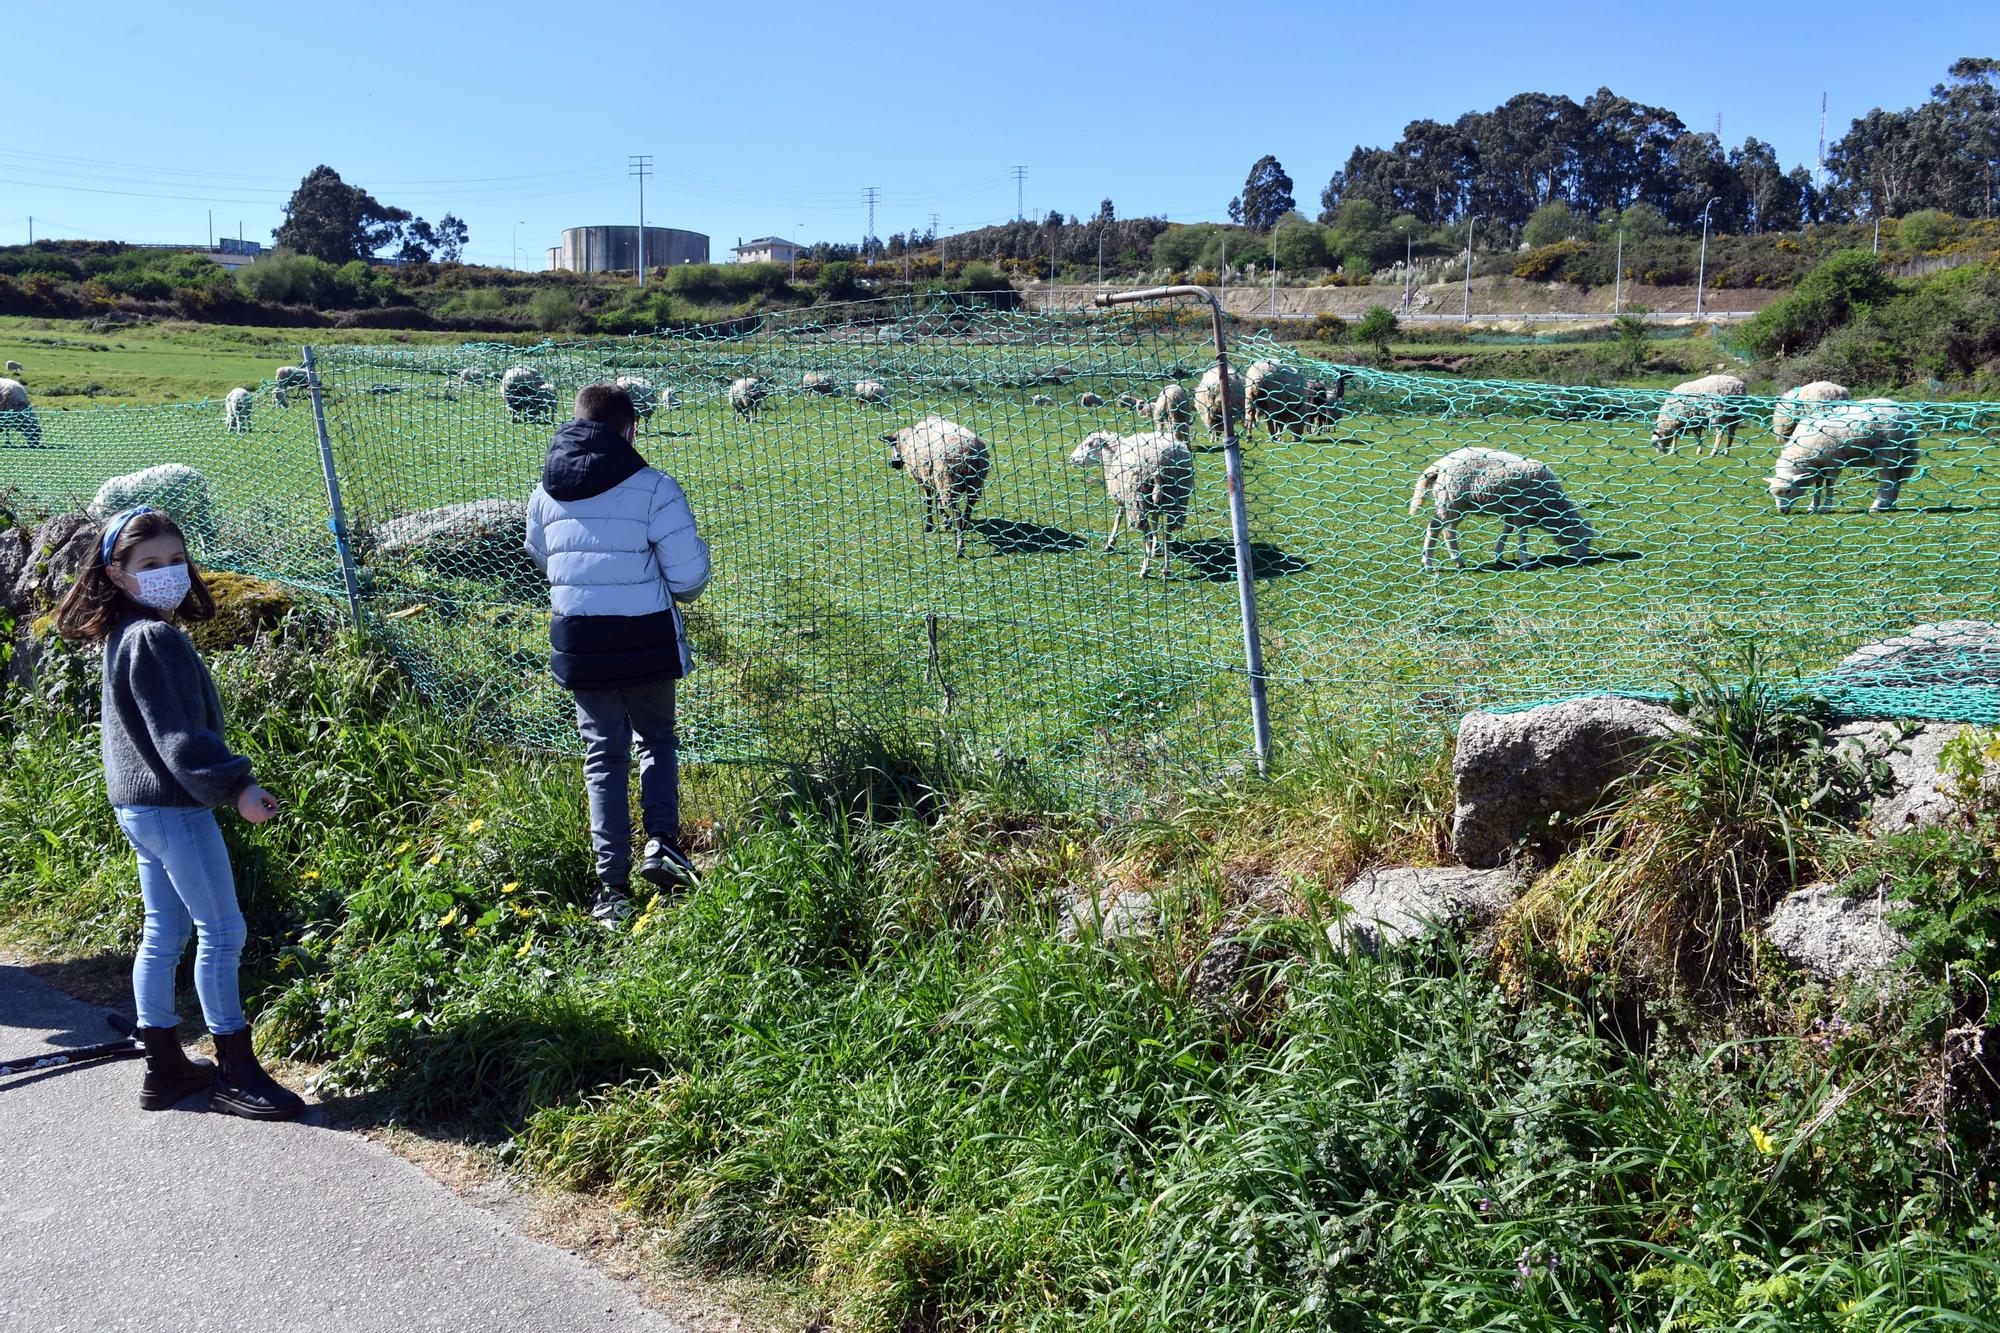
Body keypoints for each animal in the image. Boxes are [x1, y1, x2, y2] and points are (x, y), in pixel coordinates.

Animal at [884, 418, 992, 556]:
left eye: (892, 445)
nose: (892, 464)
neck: (906, 442)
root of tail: (968, 452)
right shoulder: (933, 478)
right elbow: (937, 500)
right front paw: (946, 520)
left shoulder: (925, 479)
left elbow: (929, 502)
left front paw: (929, 526)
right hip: (974, 483)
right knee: (968, 509)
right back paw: (962, 528)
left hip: (947, 480)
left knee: (957, 512)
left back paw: (960, 545)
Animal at [1072, 430, 1192, 576]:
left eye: (1088, 444)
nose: (1071, 459)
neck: (1112, 454)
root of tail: (1160, 464)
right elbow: (1155, 522)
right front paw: (1156, 549)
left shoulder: (1124, 496)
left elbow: (1118, 516)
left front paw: (1110, 543)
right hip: (1176, 501)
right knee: (1167, 535)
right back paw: (1166, 569)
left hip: (1137, 500)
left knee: (1148, 536)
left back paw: (1145, 569)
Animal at [1416, 446, 1600, 572]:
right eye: (1587, 539)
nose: (1584, 559)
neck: (1548, 506)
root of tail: (1440, 464)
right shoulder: (1523, 506)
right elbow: (1522, 534)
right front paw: (1525, 561)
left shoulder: (1511, 509)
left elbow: (1508, 530)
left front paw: (1498, 555)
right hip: (1452, 500)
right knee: (1437, 528)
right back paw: (1433, 563)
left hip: (1457, 504)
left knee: (1448, 530)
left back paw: (1454, 559)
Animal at [1768, 396, 1920, 510]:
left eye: (1788, 491)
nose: (1782, 511)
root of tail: (1907, 415)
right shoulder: (1820, 464)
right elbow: (1818, 485)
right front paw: (1813, 506)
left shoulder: (1833, 461)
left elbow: (1829, 483)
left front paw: (1826, 507)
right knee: (1896, 478)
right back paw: (1889, 504)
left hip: (1886, 451)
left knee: (1887, 480)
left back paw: (1876, 505)